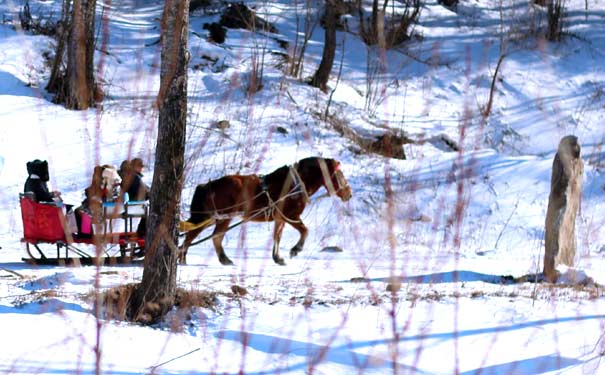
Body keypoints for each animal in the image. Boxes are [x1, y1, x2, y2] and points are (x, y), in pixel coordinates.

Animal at [177, 157, 352, 266]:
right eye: (339, 174)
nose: (348, 194)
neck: (295, 184)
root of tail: (208, 185)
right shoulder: (291, 216)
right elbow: (305, 231)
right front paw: (295, 250)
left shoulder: (280, 219)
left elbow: (277, 237)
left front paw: (277, 258)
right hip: (219, 218)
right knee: (203, 237)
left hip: (215, 218)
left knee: (201, 237)